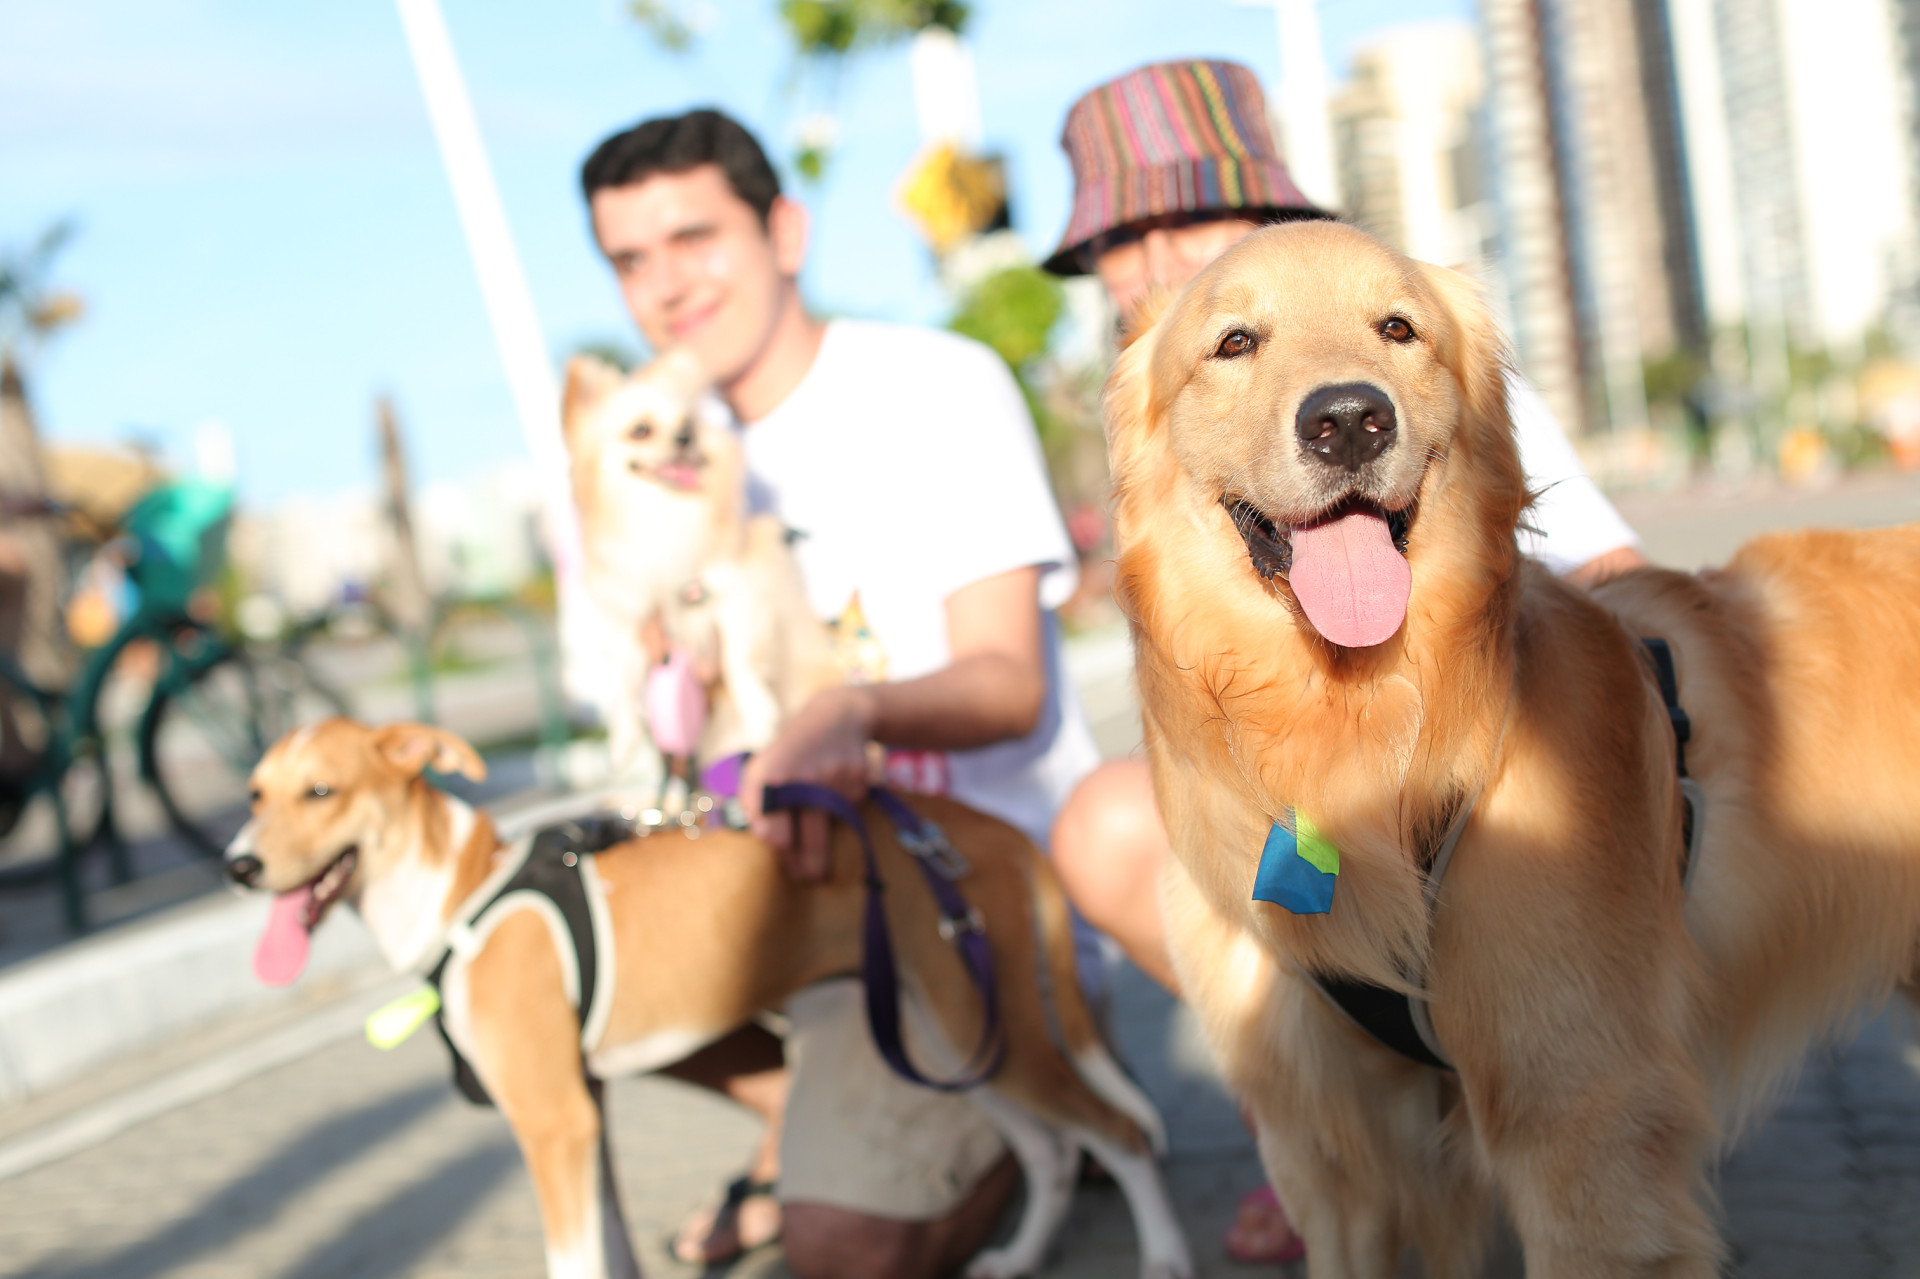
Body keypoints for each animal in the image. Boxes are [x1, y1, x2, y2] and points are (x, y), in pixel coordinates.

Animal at [220, 718, 1182, 1275]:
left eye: (322, 790)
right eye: (255, 794)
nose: (237, 864)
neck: (461, 894)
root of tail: (982, 828)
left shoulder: (552, 1123)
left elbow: (572, 1260)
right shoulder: (587, 1115)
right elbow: (608, 1255)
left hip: (992, 1025)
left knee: (1120, 1133)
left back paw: (1165, 1257)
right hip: (947, 1033)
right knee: (1049, 1151)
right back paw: (1017, 1258)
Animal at [560, 345, 837, 768]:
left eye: (687, 423)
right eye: (640, 429)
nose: (685, 436)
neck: (667, 513)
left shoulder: (742, 594)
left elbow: (739, 661)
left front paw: (758, 715)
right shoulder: (631, 619)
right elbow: (623, 683)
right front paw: (623, 739)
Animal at [1105, 218, 1920, 1275]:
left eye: (1398, 327)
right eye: (1235, 341)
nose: (1350, 420)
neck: (1359, 725)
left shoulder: (1581, 1123)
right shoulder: (1333, 1156)